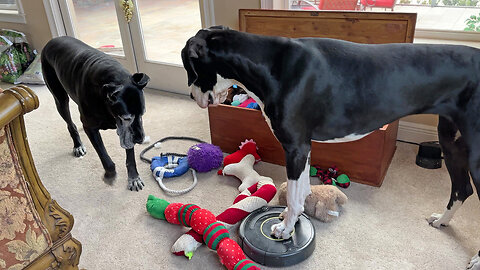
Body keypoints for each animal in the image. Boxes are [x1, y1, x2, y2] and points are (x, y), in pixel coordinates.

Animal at [42, 35, 149, 191]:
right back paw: (77, 145)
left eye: (142, 114)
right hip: (59, 98)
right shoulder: (91, 128)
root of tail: (52, 40)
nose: (140, 139)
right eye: (126, 118)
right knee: (70, 123)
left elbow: (130, 157)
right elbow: (105, 158)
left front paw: (133, 178)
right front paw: (109, 175)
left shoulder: (126, 132)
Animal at [181, 26, 480, 268]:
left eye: (188, 68)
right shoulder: (303, 146)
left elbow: (293, 195)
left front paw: (284, 229)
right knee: (462, 189)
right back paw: (442, 220)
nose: (191, 96)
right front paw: (291, 219)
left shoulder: (295, 146)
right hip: (450, 140)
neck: (271, 64)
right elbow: (300, 192)